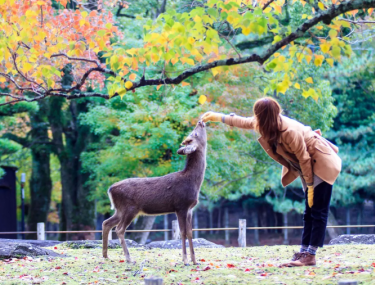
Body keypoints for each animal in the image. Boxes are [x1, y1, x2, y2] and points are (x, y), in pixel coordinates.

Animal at [103, 120, 207, 264]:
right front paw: (185, 260)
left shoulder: (190, 208)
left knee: (106, 223)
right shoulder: (181, 206)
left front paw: (195, 261)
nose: (200, 121)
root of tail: (110, 189)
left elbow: (191, 232)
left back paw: (106, 255)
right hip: (130, 208)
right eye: (194, 133)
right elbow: (183, 232)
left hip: (120, 209)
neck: (193, 182)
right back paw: (129, 258)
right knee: (119, 229)